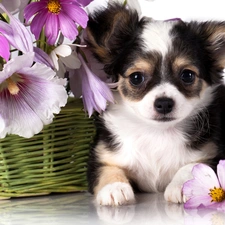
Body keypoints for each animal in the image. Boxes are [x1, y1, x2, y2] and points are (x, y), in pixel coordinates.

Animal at [86, 2, 225, 206]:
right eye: (136, 78)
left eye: (187, 75)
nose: (164, 103)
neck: (157, 132)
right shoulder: (101, 157)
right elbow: (108, 169)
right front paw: (114, 188)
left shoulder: (213, 154)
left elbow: (192, 166)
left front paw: (185, 185)